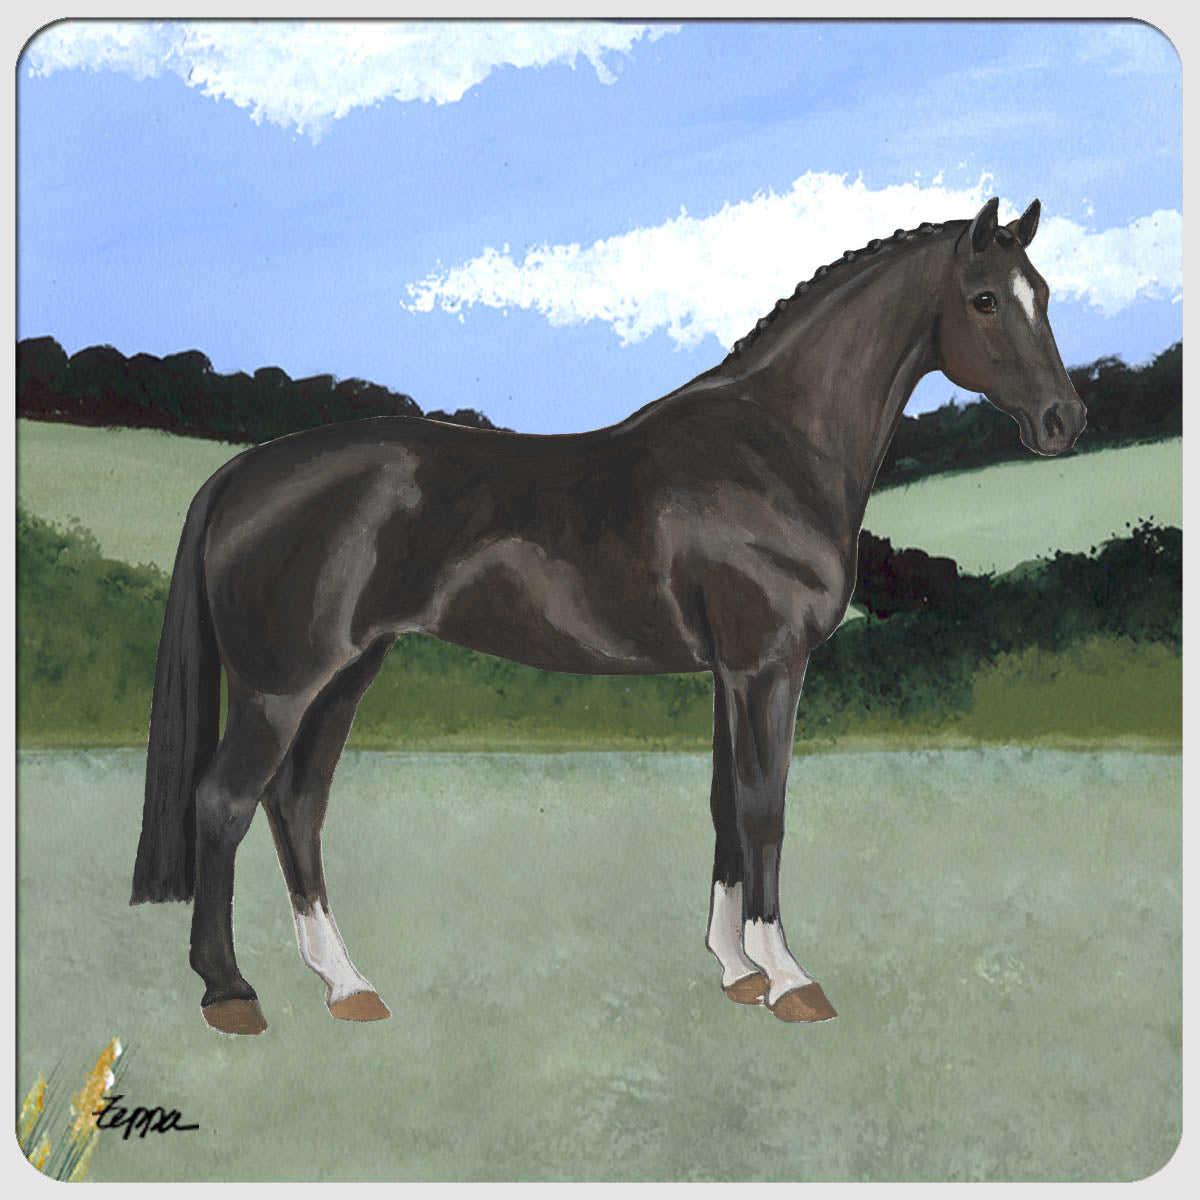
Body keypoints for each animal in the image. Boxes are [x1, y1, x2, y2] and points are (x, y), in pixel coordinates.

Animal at [131, 197, 1086, 1036]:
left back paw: (347, 986)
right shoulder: (768, 666)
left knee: (296, 804)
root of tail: (244, 471)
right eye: (986, 299)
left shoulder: (729, 674)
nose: (1065, 419)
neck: (772, 449)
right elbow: (764, 808)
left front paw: (735, 970)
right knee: (225, 803)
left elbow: (724, 807)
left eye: (1043, 291)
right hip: (283, 686)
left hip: (347, 673)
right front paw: (789, 980)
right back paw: (231, 996)